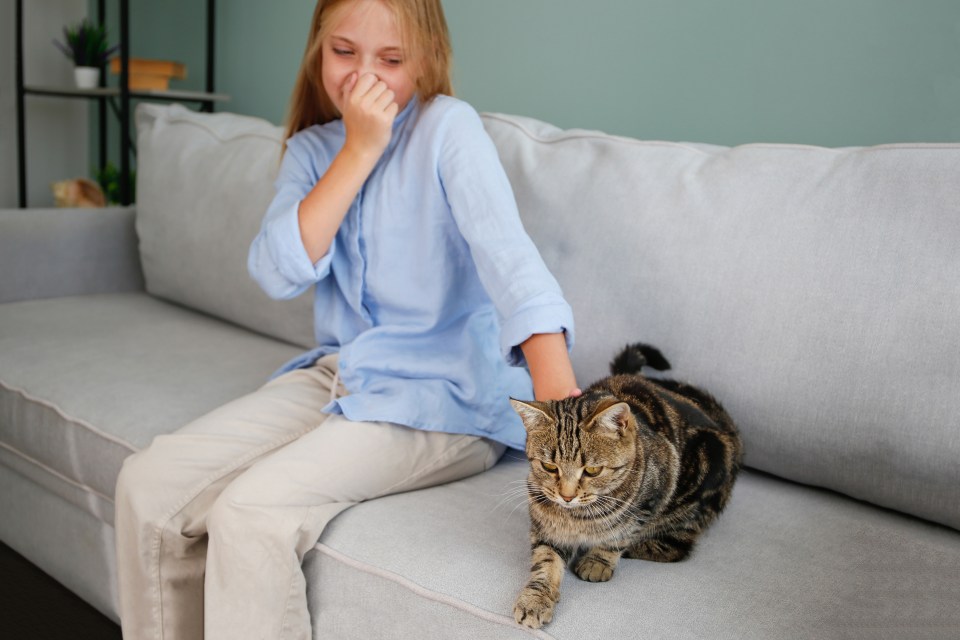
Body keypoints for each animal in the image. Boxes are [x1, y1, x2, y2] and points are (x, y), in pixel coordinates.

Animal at [510, 342, 744, 628]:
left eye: (592, 470)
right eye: (550, 467)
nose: (566, 496)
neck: (577, 517)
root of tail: (728, 431)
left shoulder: (651, 498)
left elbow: (619, 537)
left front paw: (598, 560)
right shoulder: (547, 527)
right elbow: (546, 559)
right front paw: (535, 598)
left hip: (698, 486)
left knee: (677, 546)